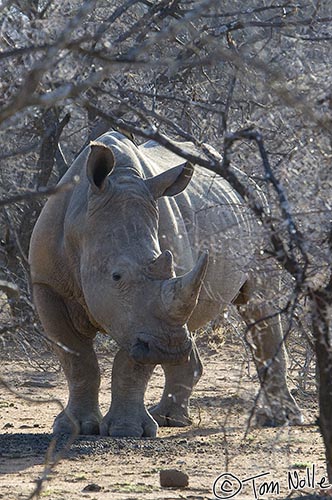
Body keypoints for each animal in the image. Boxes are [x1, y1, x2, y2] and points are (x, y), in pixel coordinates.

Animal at [29, 131, 304, 436]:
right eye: (116, 276)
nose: (168, 348)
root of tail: (248, 180)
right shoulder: (47, 285)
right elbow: (77, 360)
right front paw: (74, 428)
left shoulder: (145, 321)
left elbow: (131, 363)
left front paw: (128, 430)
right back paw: (170, 419)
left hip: (261, 215)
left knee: (259, 305)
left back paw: (281, 419)